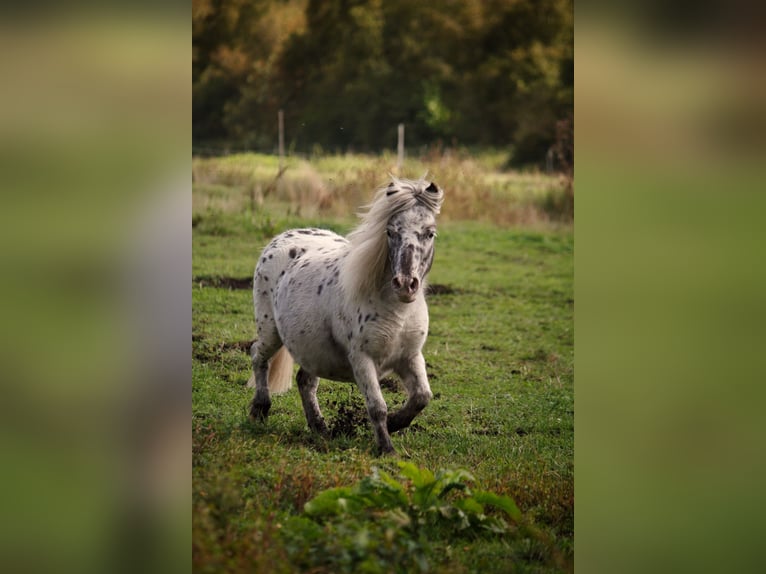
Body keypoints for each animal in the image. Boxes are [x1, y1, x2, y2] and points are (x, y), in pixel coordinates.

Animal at [246, 175, 444, 454]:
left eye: (430, 233)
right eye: (390, 232)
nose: (405, 284)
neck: (397, 311)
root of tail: (280, 239)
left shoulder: (410, 357)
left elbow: (422, 397)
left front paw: (395, 424)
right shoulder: (361, 359)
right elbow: (377, 407)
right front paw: (387, 449)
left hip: (312, 347)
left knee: (305, 381)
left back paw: (320, 428)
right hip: (270, 331)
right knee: (258, 356)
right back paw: (260, 410)